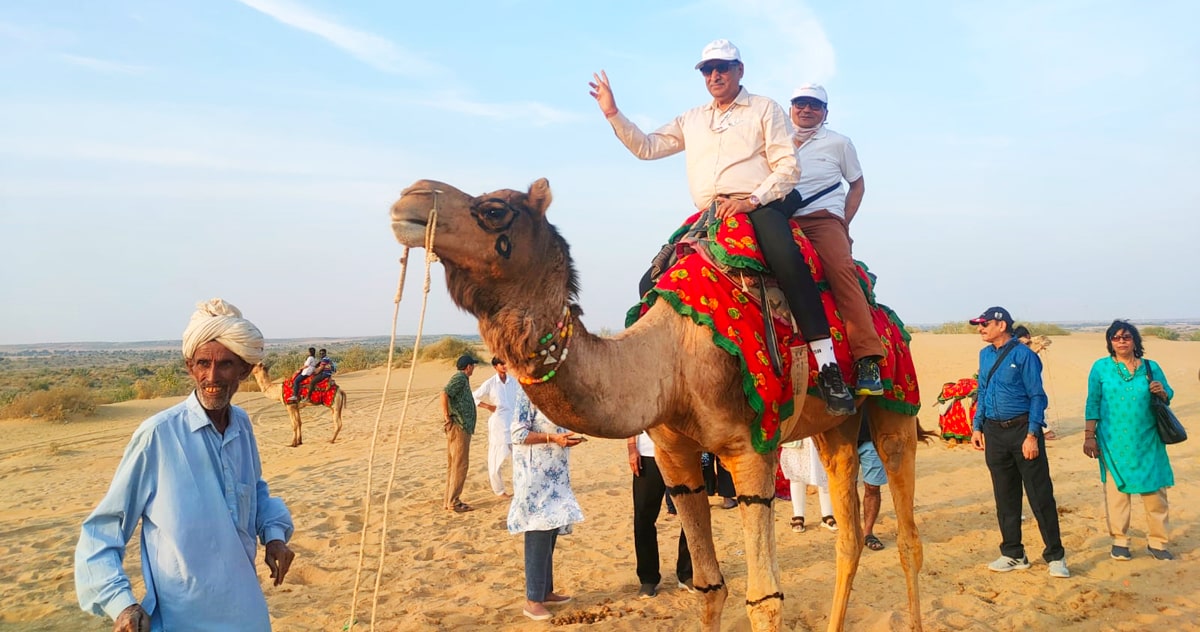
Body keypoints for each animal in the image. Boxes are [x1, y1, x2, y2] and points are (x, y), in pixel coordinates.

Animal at [388, 179, 921, 632]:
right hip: (836, 427)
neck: (674, 354)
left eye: (495, 210)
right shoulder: (674, 457)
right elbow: (709, 585)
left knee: (908, 537)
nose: (409, 198)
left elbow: (764, 600)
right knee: (848, 537)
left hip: (897, 406)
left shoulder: (751, 453)